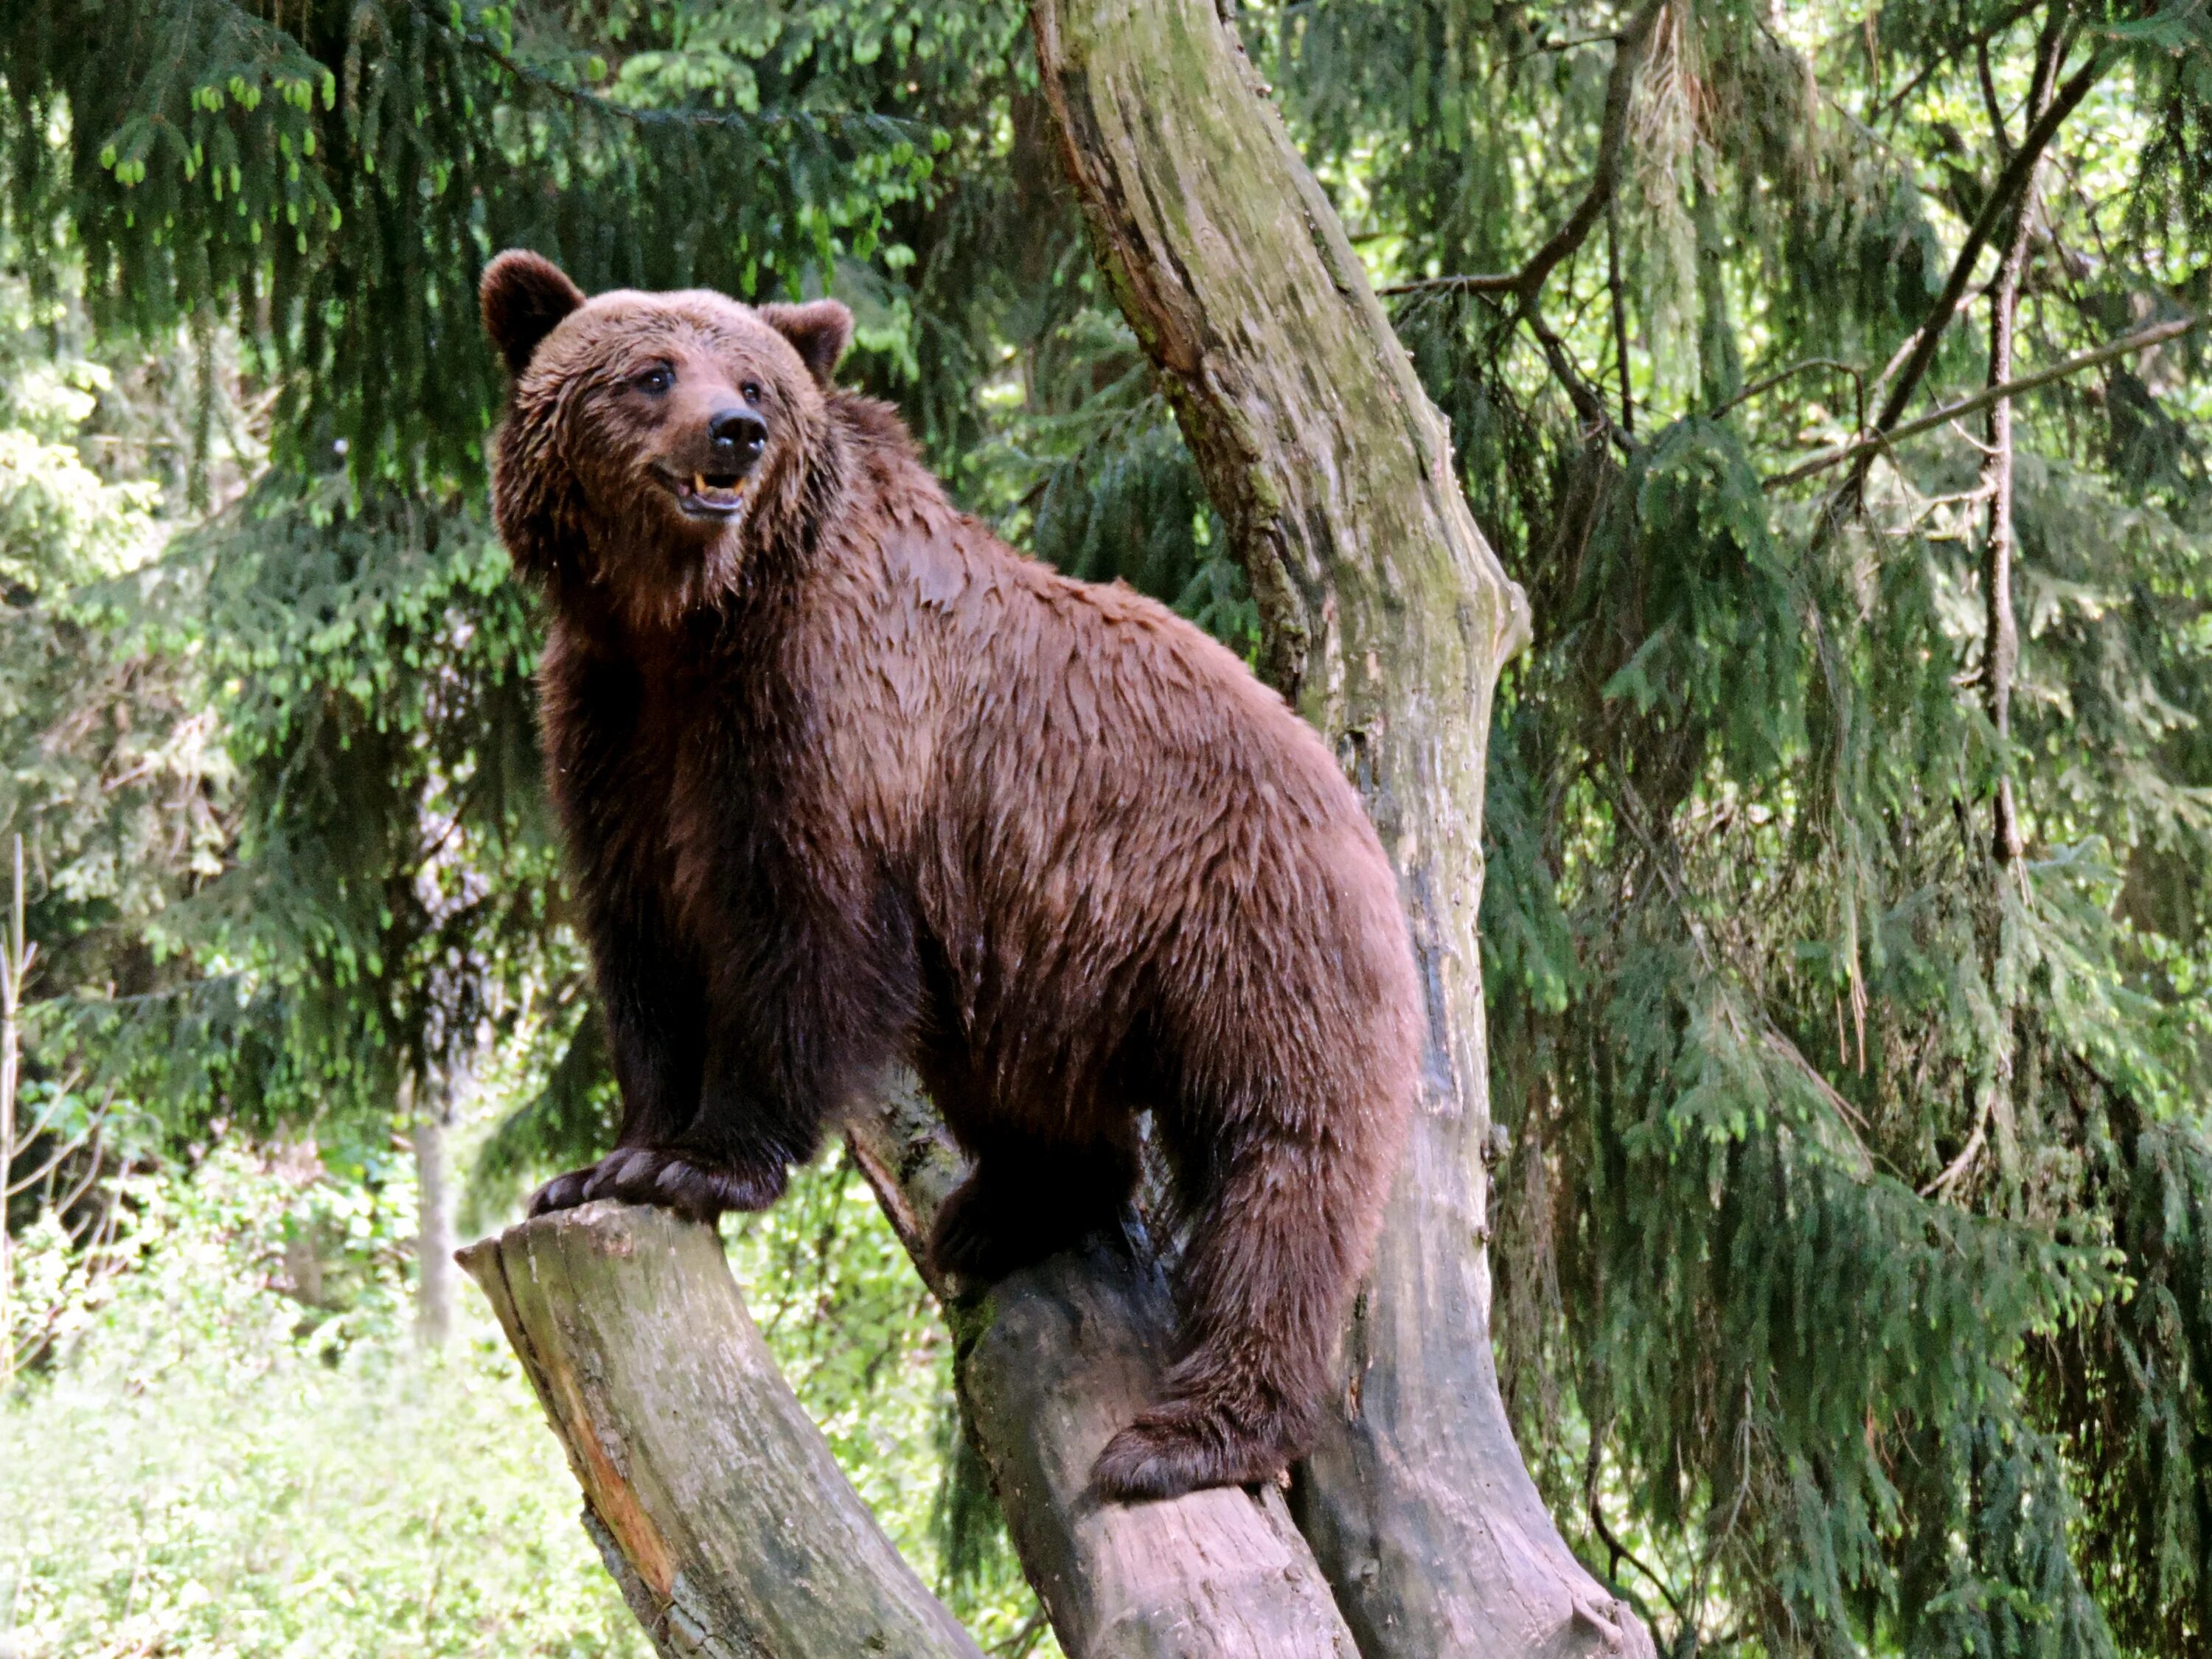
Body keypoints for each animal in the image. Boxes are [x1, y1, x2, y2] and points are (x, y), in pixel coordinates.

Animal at [480, 250, 1416, 1504]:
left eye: (755, 383)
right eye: (652, 370)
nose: (733, 435)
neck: (688, 621)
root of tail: (1346, 789)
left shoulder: (820, 713)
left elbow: (792, 934)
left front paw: (705, 1161)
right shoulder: (612, 730)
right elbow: (643, 951)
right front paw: (606, 1160)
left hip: (1248, 926)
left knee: (1280, 1167)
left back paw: (1189, 1431)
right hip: (1043, 959)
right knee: (1022, 1085)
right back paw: (1009, 1209)